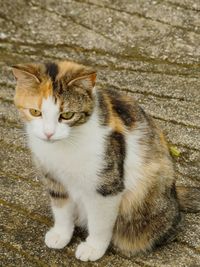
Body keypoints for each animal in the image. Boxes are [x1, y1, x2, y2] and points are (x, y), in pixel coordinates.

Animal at [12, 60, 200, 262]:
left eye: (67, 115)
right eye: (35, 112)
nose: (48, 133)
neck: (64, 147)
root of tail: (175, 195)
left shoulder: (106, 185)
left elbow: (99, 222)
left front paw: (93, 247)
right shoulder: (53, 178)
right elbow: (62, 210)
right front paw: (61, 235)